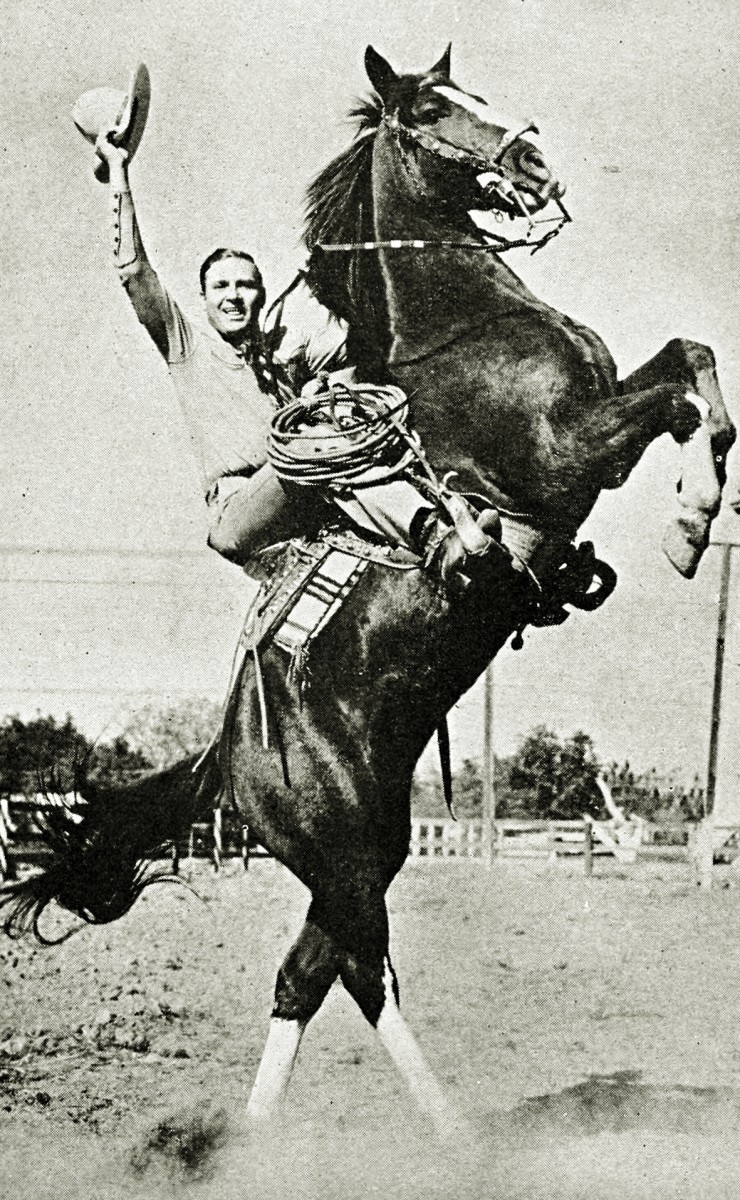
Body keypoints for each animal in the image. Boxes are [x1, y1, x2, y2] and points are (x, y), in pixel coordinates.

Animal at [1, 44, 734, 1132]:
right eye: (429, 109)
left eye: (471, 92)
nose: (535, 166)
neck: (466, 326)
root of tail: (226, 756)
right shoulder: (567, 449)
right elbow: (680, 383)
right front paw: (691, 520)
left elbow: (693, 358)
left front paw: (698, 500)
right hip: (343, 856)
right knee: (358, 969)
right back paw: (445, 1140)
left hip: (367, 844)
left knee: (306, 974)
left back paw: (282, 1142)